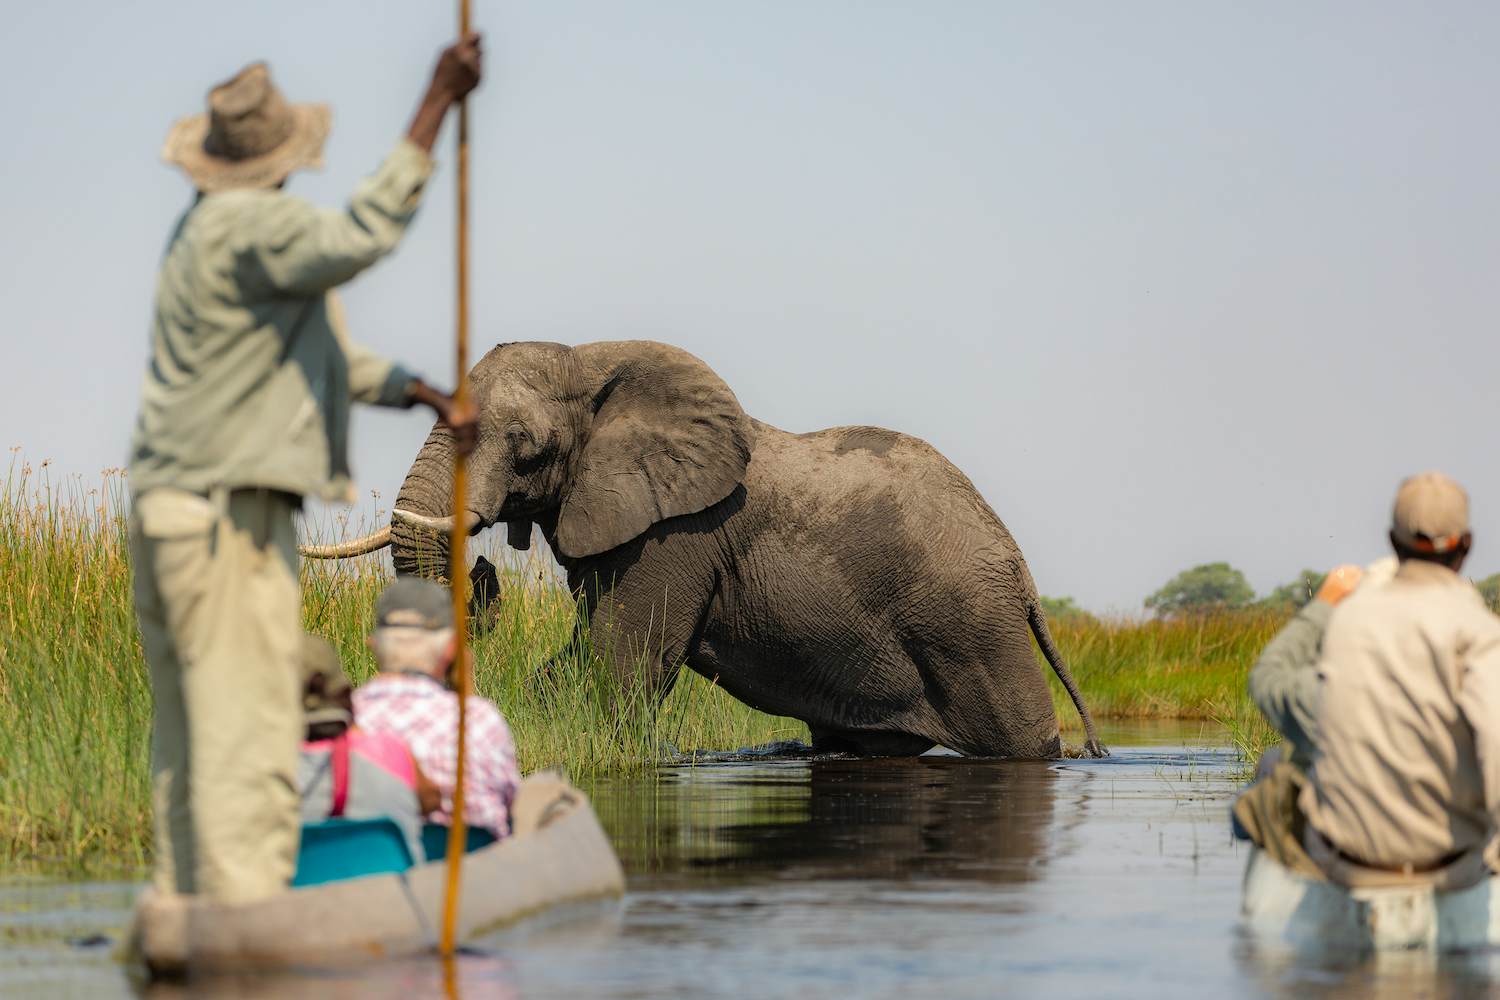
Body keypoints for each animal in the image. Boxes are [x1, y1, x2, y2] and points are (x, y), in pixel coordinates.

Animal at [304, 341, 1104, 758]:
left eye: (524, 446)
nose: (483, 568)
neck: (593, 360)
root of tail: (1020, 568)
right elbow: (577, 658)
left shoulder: (673, 538)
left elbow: (622, 664)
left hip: (971, 626)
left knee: (1021, 739)